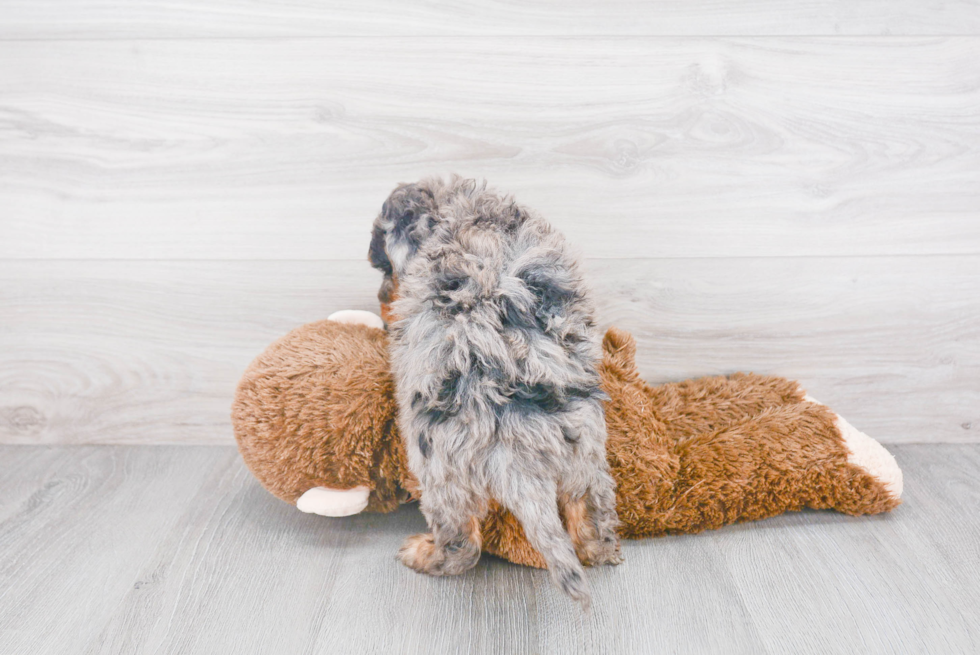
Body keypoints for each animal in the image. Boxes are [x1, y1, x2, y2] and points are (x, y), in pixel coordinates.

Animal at [368, 177, 620, 608]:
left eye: (387, 269)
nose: (383, 302)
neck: (456, 209)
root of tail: (513, 432)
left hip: (438, 465)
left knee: (462, 544)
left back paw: (424, 554)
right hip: (585, 450)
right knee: (589, 513)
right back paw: (601, 549)